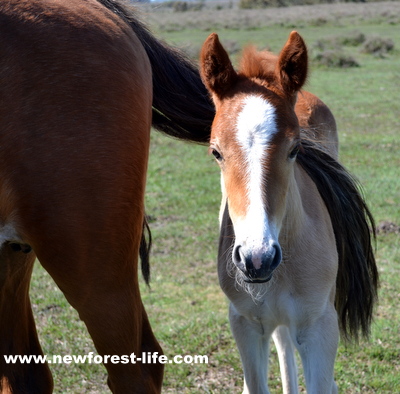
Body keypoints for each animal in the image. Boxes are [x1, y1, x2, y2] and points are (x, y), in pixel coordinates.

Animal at [200, 31, 378, 394]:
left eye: (295, 149)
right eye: (215, 152)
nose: (257, 259)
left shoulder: (319, 328)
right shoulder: (245, 324)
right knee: (282, 340)